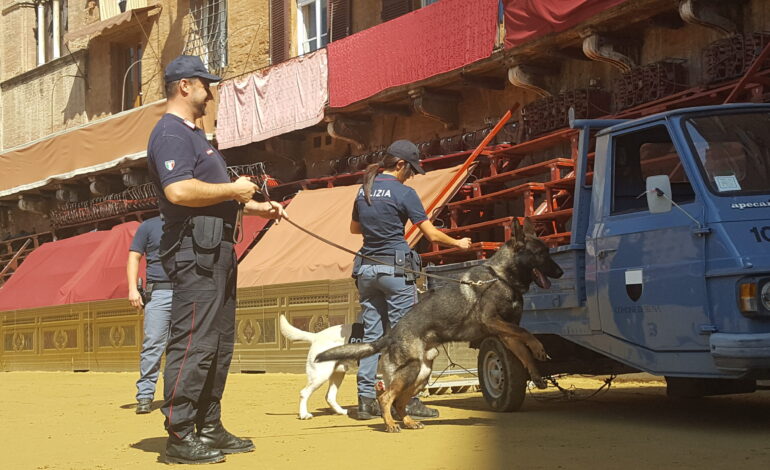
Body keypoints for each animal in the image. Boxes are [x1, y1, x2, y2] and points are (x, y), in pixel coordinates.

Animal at [316, 218, 560, 432]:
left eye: (547, 252)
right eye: (541, 254)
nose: (561, 272)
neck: (500, 277)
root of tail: (391, 334)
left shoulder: (506, 332)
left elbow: (524, 350)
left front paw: (536, 374)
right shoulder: (492, 320)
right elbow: (526, 333)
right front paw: (539, 348)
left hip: (422, 373)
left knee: (399, 402)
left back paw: (409, 422)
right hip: (412, 370)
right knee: (386, 397)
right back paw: (391, 424)